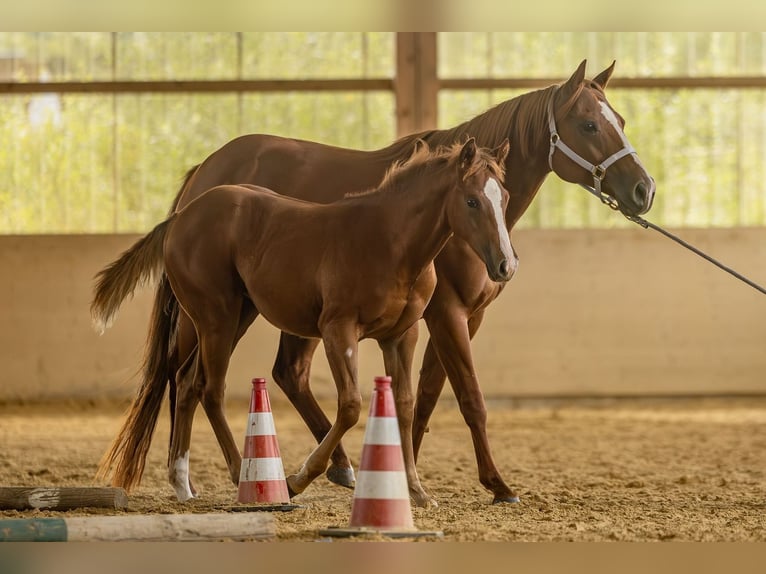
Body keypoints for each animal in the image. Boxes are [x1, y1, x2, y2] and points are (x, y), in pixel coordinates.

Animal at [93, 139, 515, 503]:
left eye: (505, 197)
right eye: (472, 200)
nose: (505, 265)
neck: (389, 242)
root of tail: (182, 215)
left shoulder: (401, 335)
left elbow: (405, 405)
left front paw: (415, 490)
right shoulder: (338, 329)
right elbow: (350, 406)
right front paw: (300, 479)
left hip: (233, 317)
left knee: (186, 382)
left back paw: (183, 484)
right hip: (216, 318)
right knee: (209, 389)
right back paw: (240, 474)